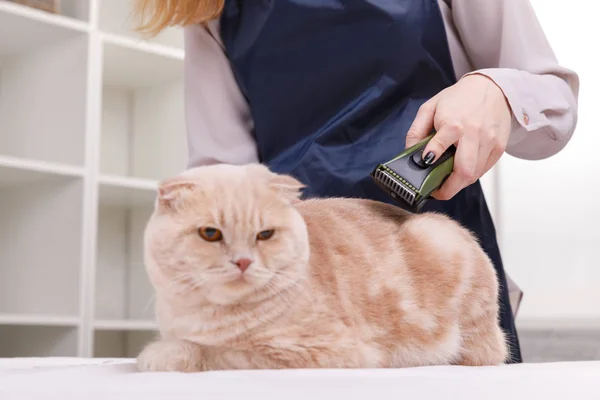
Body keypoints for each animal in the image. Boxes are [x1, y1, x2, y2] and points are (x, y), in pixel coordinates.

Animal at [138, 162, 508, 372]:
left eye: (265, 234)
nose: (243, 261)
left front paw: (162, 354)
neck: (202, 315)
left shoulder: (320, 351)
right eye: (210, 234)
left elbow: (220, 354)